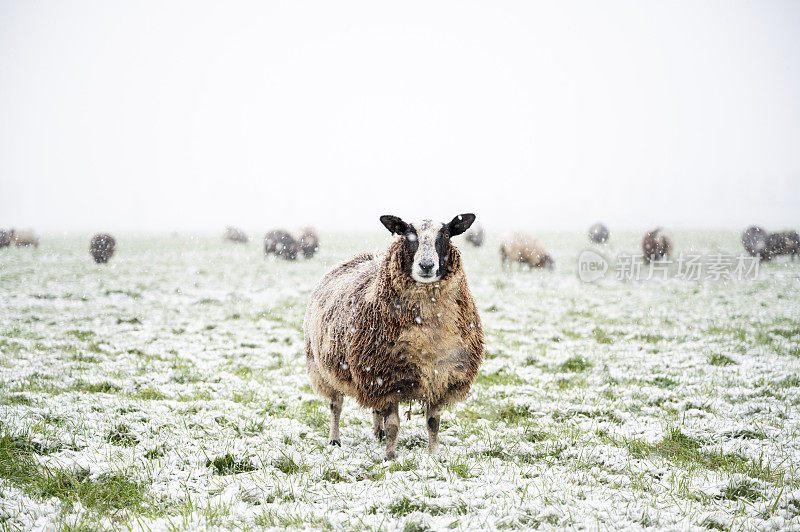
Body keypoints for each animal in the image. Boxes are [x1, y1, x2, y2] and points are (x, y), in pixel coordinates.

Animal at [304, 214, 484, 460]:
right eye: (408, 235)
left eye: (446, 234)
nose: (426, 266)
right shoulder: (385, 378)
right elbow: (393, 425)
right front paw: (390, 457)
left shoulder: (440, 378)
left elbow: (433, 423)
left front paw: (434, 455)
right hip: (325, 368)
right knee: (336, 405)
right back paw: (335, 439)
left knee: (375, 409)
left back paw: (377, 433)